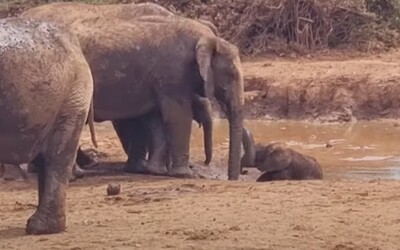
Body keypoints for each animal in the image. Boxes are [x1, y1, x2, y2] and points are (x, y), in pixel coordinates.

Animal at [23, 11, 245, 182]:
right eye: (232, 75)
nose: (233, 178)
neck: (206, 37)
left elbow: (154, 119)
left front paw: (153, 171)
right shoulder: (174, 72)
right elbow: (177, 116)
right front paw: (184, 175)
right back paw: (74, 175)